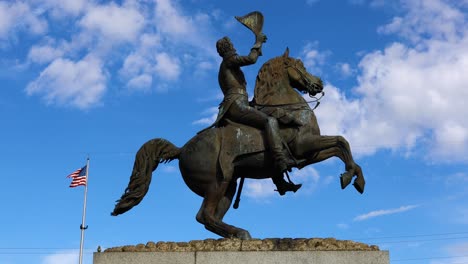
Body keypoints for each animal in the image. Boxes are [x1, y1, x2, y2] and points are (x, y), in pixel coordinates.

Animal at [111, 47, 364, 239]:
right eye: (300, 65)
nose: (319, 84)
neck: (291, 108)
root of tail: (182, 150)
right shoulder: (304, 146)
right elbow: (342, 142)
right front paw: (348, 177)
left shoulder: (309, 154)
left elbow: (340, 146)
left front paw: (357, 179)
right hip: (217, 183)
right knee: (205, 215)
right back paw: (242, 233)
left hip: (229, 185)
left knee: (209, 217)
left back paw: (237, 233)